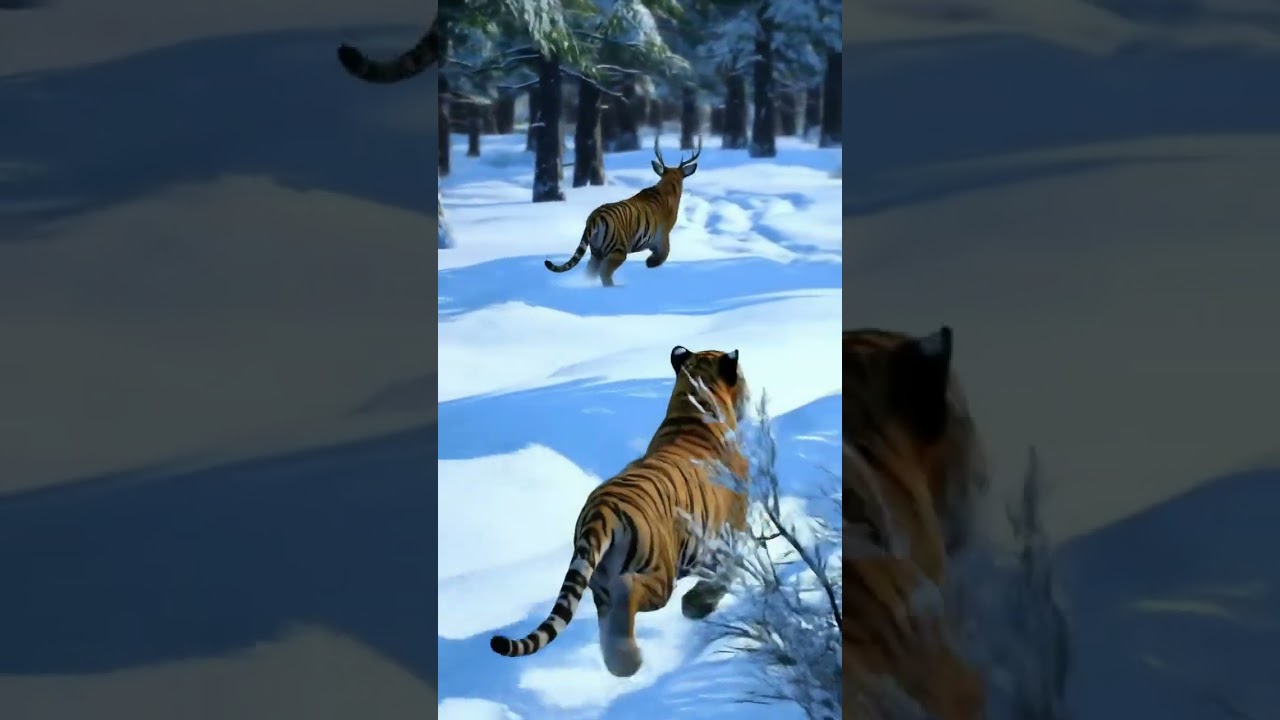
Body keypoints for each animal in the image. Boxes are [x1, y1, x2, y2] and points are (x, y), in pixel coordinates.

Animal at [489, 345, 750, 677]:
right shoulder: (730, 531)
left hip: (598, 581)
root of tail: (599, 514)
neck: (689, 409)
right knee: (629, 590)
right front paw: (697, 605)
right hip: (659, 572)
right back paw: (632, 659)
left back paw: (623, 663)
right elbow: (728, 571)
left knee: (610, 623)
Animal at [543, 134, 702, 287]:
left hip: (597, 252)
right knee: (605, 273)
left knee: (590, 271)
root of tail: (594, 217)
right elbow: (664, 255)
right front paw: (650, 263)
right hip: (618, 250)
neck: (668, 187)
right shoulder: (662, 237)